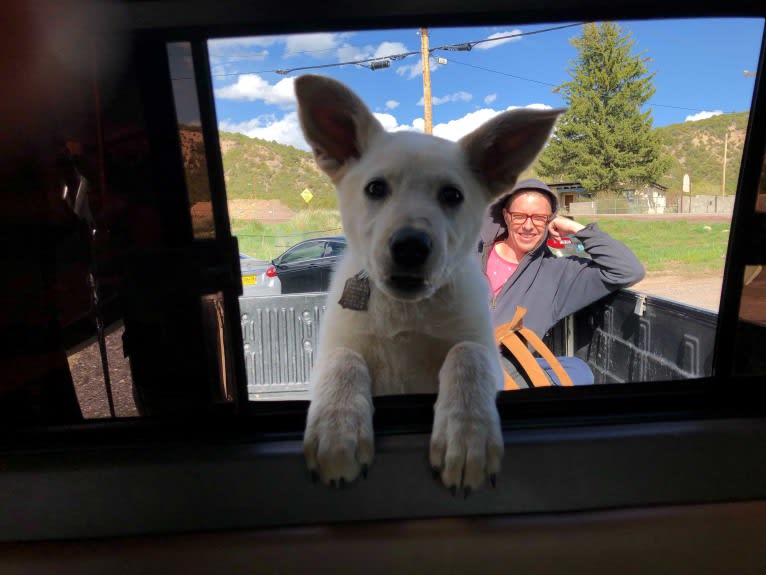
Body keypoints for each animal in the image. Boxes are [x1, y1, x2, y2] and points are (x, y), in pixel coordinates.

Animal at [296, 74, 560, 492]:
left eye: (452, 195)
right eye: (375, 188)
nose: (410, 247)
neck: (407, 310)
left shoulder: (482, 348)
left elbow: (466, 355)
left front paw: (466, 436)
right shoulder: (332, 350)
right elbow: (344, 360)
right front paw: (336, 429)